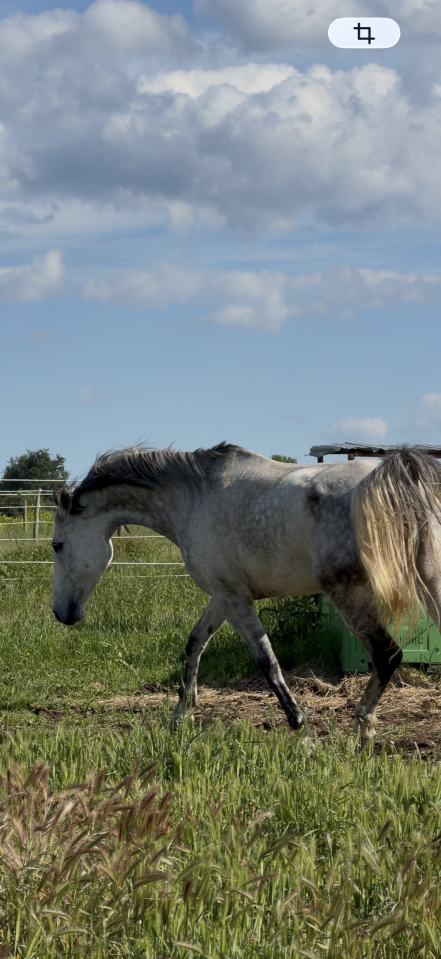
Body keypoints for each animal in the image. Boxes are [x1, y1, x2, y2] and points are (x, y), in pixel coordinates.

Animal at [51, 443, 441, 746]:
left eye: (57, 545)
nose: (60, 613)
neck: (195, 499)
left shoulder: (236, 601)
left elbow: (267, 662)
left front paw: (302, 732)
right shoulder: (223, 597)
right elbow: (194, 644)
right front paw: (181, 717)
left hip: (349, 596)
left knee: (387, 655)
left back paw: (361, 733)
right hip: (429, 584)